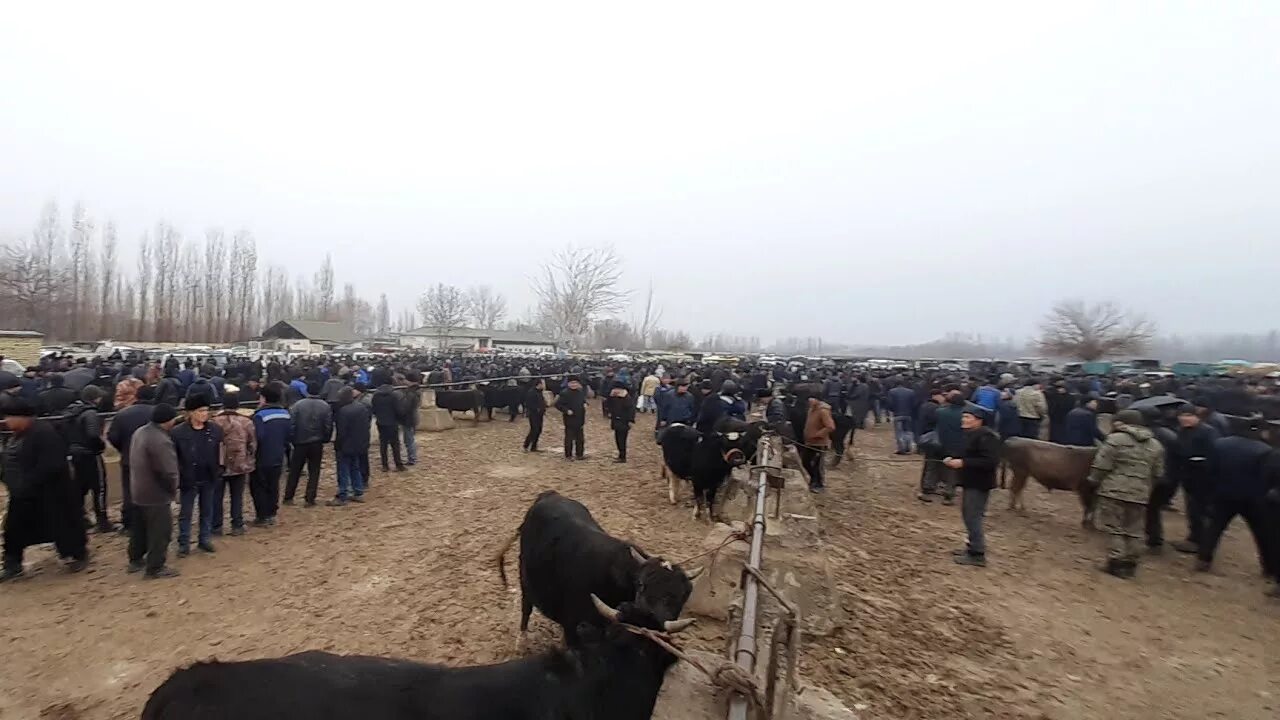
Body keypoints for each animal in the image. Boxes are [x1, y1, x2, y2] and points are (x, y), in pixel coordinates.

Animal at [496, 489, 701, 640]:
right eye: (641, 585)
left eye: (684, 595)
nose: (650, 617)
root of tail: (550, 494)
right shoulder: (573, 626)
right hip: (525, 578)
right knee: (526, 607)